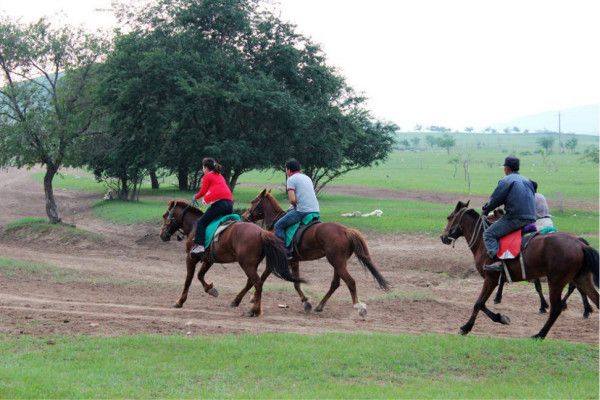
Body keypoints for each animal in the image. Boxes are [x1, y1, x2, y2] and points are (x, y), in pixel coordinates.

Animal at [159, 200, 302, 316]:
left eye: (165, 216)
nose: (162, 235)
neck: (195, 225)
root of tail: (262, 232)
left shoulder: (190, 258)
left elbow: (188, 280)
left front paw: (180, 301)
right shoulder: (209, 260)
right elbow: (200, 275)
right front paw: (210, 289)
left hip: (247, 264)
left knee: (258, 283)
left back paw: (254, 310)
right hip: (251, 265)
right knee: (252, 282)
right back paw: (238, 302)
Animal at [239, 189, 390, 318]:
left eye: (253, 201)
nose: (244, 217)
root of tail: (345, 230)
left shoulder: (276, 261)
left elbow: (263, 278)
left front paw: (253, 297)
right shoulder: (294, 261)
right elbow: (296, 283)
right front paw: (306, 302)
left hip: (337, 262)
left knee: (350, 282)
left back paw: (358, 307)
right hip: (339, 263)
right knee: (335, 283)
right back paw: (320, 305)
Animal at [438, 202, 596, 340]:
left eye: (449, 217)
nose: (443, 237)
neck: (483, 242)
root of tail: (580, 244)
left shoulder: (491, 279)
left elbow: (479, 303)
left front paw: (467, 327)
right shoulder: (497, 279)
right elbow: (483, 303)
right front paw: (500, 316)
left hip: (556, 281)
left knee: (557, 307)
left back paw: (541, 333)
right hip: (577, 277)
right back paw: (584, 310)